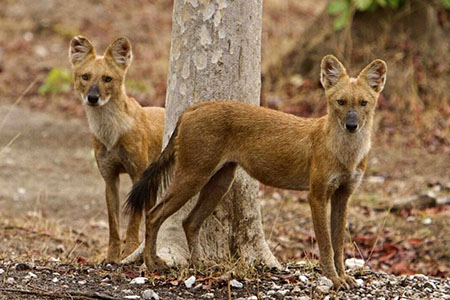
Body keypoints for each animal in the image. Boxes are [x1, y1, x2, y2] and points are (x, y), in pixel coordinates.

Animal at [71, 35, 166, 262]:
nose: (93, 98)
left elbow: (133, 219)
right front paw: (112, 257)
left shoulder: (137, 174)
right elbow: (113, 223)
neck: (111, 133)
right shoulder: (110, 177)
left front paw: (130, 250)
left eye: (107, 79)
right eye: (85, 77)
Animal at [124, 55, 386, 290]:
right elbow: (326, 244)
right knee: (154, 214)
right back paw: (152, 263)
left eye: (363, 103)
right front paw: (333, 279)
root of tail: (193, 107)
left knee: (189, 222)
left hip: (220, 182)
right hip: (193, 177)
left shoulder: (343, 195)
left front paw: (344, 277)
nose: (351, 125)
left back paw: (200, 265)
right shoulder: (317, 195)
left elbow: (339, 243)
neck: (347, 154)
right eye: (340, 102)